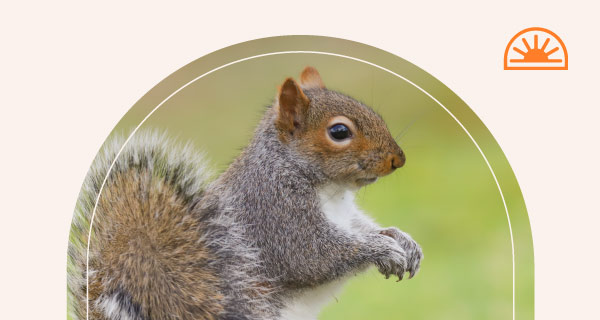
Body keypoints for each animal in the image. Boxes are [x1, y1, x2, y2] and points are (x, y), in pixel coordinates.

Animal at [68, 66, 424, 318]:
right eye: (339, 132)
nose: (398, 159)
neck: (331, 190)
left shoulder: (347, 216)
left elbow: (365, 228)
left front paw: (402, 240)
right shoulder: (273, 209)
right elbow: (312, 256)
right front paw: (383, 249)